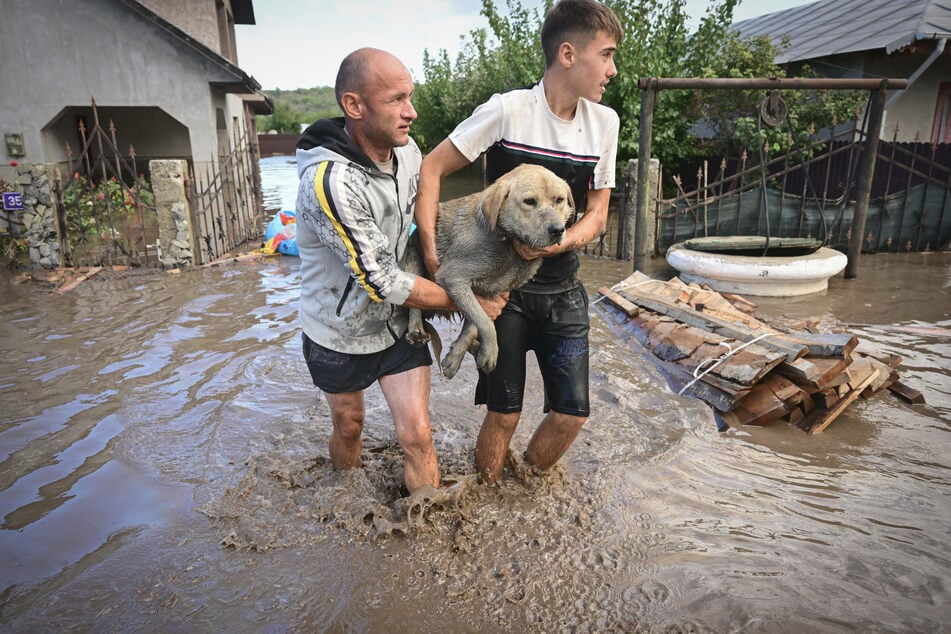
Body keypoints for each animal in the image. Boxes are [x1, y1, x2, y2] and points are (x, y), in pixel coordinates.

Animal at [402, 165, 572, 378]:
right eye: (529, 201)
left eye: (559, 200)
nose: (558, 230)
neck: (508, 243)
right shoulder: (453, 277)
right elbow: (486, 323)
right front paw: (490, 352)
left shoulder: (490, 294)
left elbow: (474, 324)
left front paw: (456, 357)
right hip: (414, 259)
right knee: (413, 305)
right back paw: (416, 329)